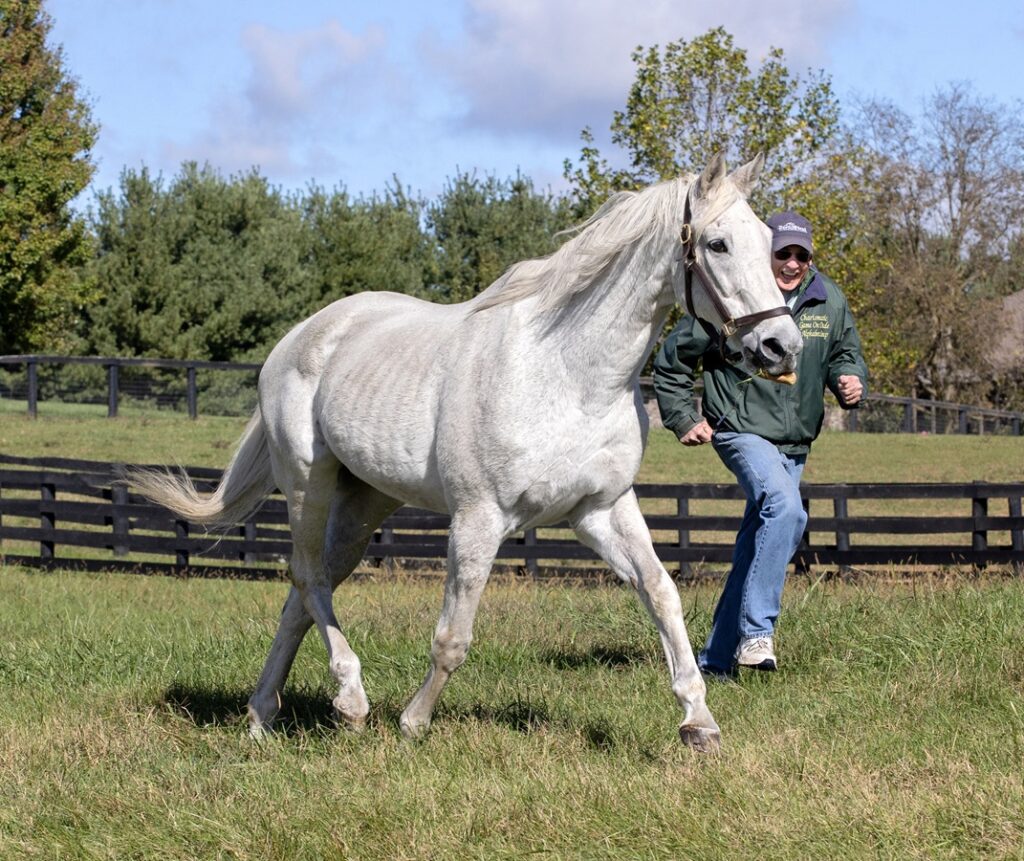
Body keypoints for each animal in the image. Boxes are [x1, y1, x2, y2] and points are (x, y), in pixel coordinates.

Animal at [130, 154, 798, 753]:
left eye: (770, 244)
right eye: (716, 244)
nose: (780, 346)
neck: (568, 373)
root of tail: (296, 338)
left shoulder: (601, 509)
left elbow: (661, 592)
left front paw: (698, 723)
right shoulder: (480, 518)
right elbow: (454, 636)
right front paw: (413, 723)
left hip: (363, 503)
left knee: (302, 591)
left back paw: (262, 715)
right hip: (306, 481)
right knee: (310, 577)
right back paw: (351, 700)